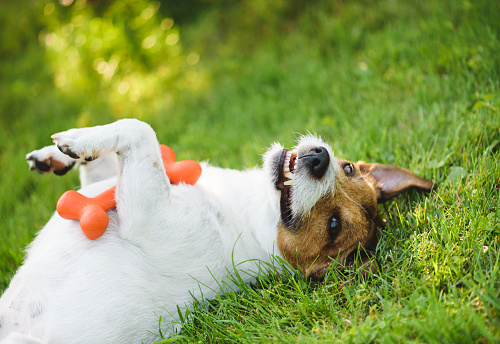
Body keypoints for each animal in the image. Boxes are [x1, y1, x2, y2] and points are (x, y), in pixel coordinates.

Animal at [0, 119, 436, 344]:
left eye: (333, 225)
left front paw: (75, 140)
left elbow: (141, 129)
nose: (319, 158)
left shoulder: (146, 210)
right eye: (346, 168)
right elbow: (104, 163)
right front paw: (55, 156)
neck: (241, 211)